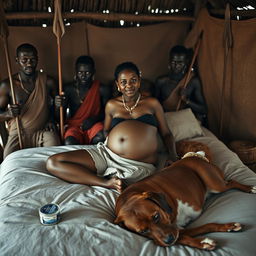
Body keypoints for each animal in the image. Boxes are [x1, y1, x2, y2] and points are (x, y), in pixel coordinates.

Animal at [114, 145, 256, 251]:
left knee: (231, 182)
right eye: (143, 231)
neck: (129, 196)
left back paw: (249, 188)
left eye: (156, 216)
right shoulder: (177, 231)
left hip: (216, 184)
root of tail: (195, 156)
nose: (169, 240)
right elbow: (199, 229)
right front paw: (203, 242)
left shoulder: (175, 230)